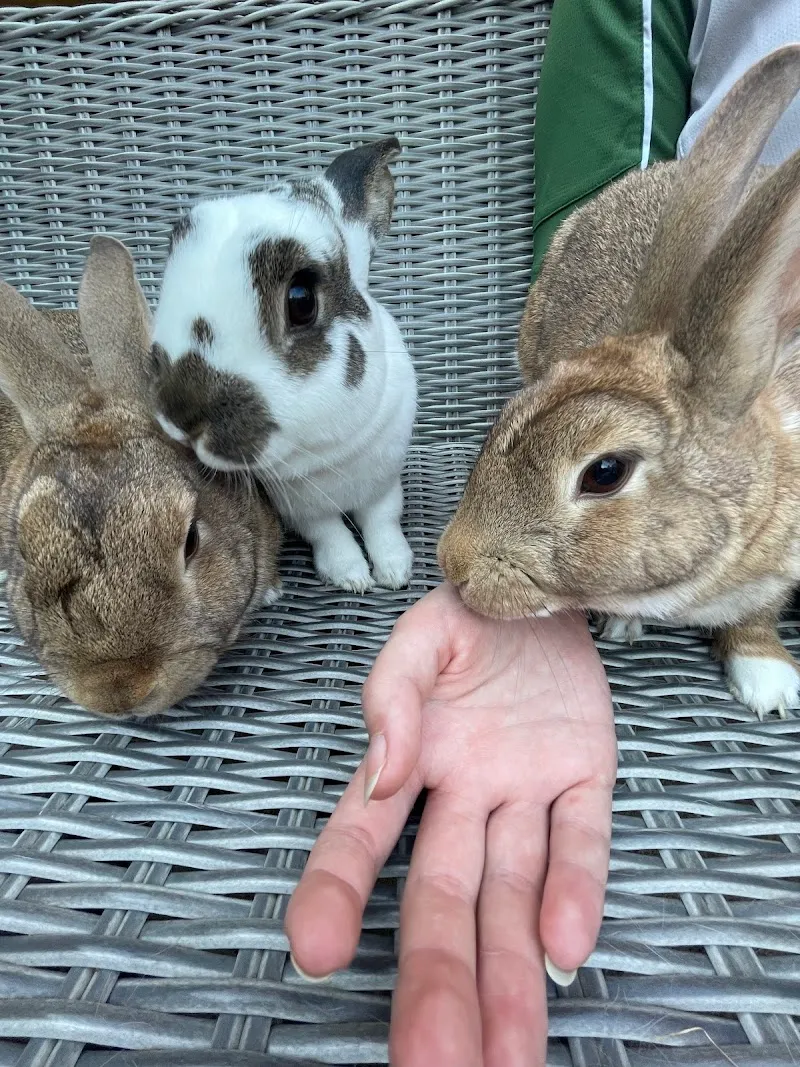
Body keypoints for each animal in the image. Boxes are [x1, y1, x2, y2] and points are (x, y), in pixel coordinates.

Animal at [150, 137, 417, 594]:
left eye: (301, 300)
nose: (182, 417)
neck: (325, 450)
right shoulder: (302, 507)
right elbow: (331, 534)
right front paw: (351, 577)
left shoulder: (384, 482)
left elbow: (383, 522)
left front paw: (395, 572)